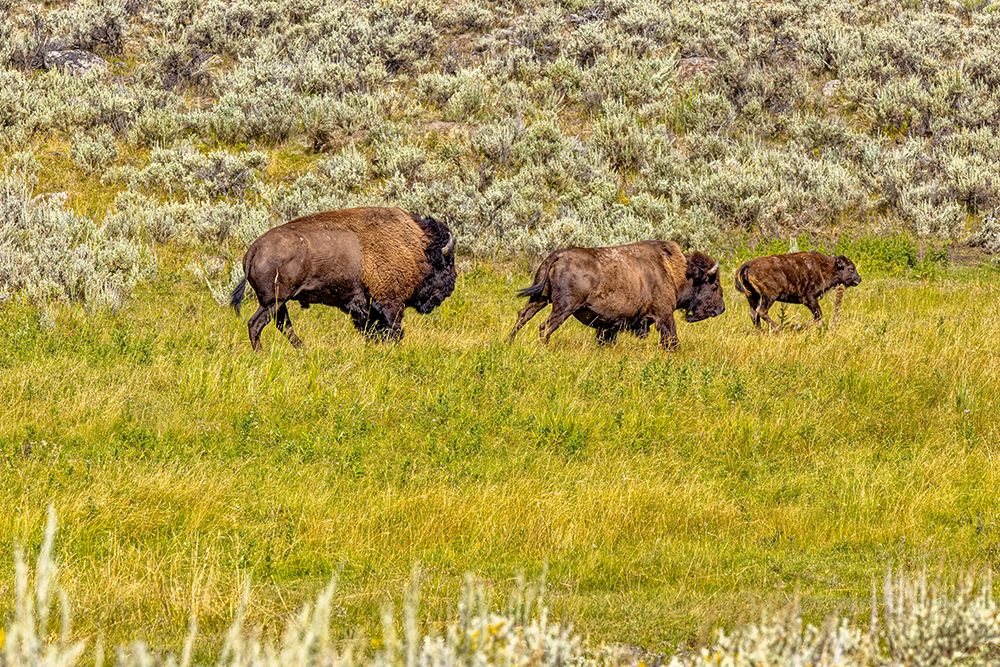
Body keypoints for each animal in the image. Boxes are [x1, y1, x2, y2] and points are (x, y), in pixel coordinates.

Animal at [231, 207, 456, 350]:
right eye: (447, 263)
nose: (450, 288)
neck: (417, 247)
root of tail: (252, 250)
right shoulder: (389, 303)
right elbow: (393, 330)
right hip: (273, 301)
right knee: (256, 324)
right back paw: (262, 353)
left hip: (279, 303)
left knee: (283, 325)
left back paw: (303, 349)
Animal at [508, 240, 725, 350]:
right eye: (714, 285)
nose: (721, 308)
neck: (674, 270)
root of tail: (557, 255)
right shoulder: (664, 315)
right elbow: (671, 338)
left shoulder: (608, 326)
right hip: (563, 308)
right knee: (545, 326)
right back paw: (543, 347)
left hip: (540, 299)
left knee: (522, 317)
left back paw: (509, 342)